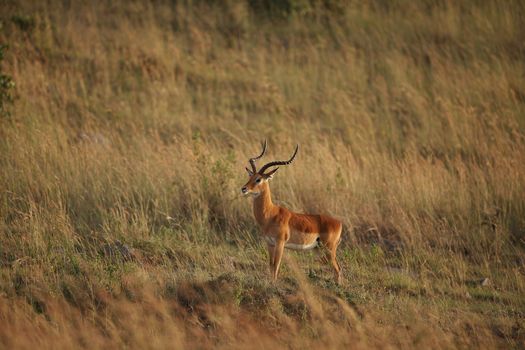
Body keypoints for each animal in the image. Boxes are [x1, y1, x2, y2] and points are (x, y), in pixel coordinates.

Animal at [242, 140, 344, 284]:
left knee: (337, 269)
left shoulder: (280, 243)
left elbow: (276, 266)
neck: (270, 215)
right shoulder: (270, 243)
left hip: (328, 249)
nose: (244, 189)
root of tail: (339, 223)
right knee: (337, 269)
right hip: (320, 250)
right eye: (250, 177)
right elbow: (270, 265)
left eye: (259, 179)